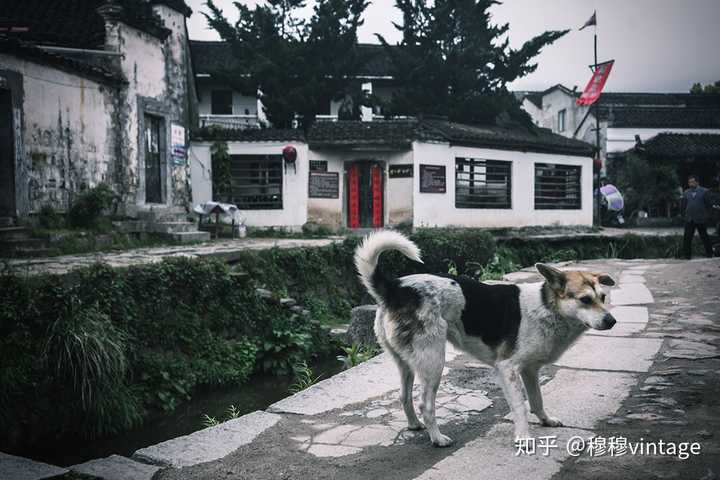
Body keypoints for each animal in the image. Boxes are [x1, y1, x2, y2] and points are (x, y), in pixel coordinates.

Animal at [352, 230, 616, 446]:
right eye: (585, 300)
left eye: (603, 297)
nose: (611, 321)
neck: (547, 307)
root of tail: (395, 288)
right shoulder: (508, 368)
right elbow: (520, 407)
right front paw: (523, 437)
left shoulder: (530, 370)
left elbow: (536, 400)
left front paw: (546, 420)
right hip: (434, 361)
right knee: (425, 404)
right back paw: (437, 438)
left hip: (406, 362)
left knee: (404, 396)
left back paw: (415, 425)